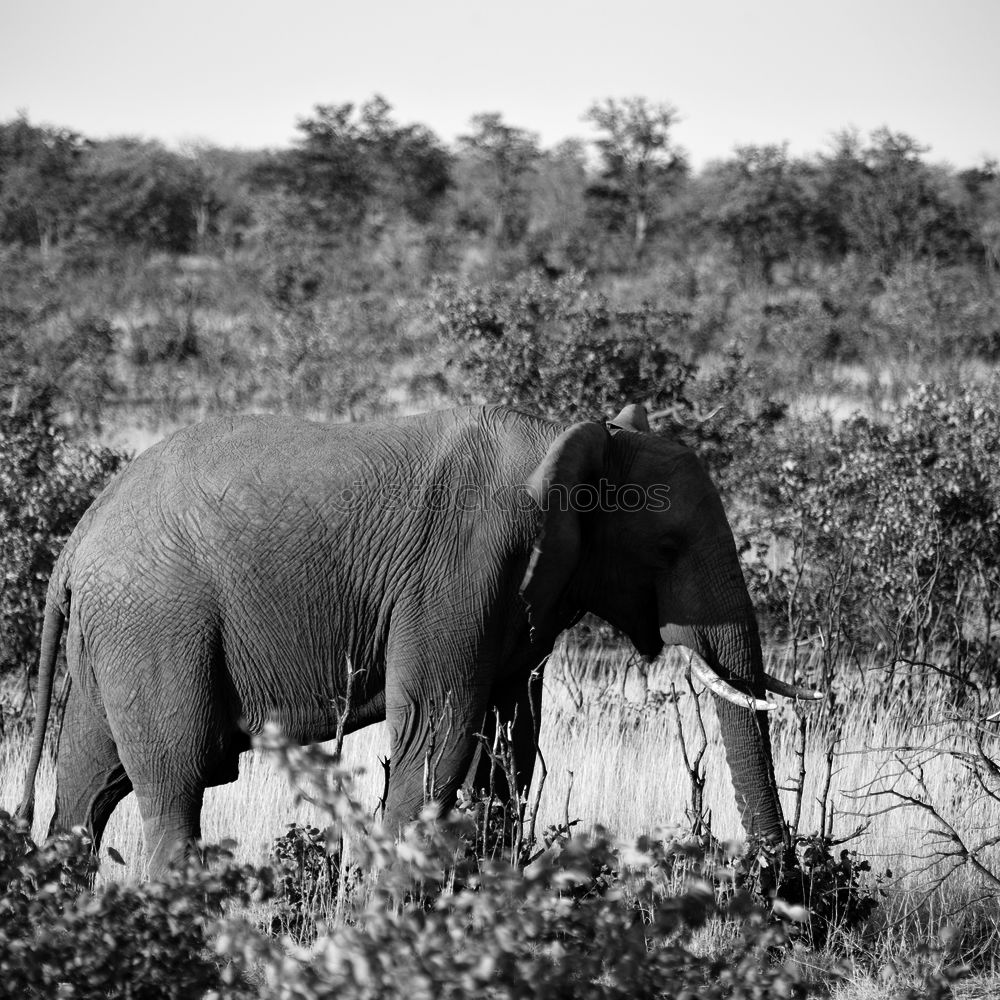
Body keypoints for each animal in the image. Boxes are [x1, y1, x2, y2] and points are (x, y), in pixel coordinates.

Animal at [17, 404, 812, 876]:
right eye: (669, 548)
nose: (781, 886)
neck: (570, 441)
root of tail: (80, 533)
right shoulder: (462, 569)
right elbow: (440, 733)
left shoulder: (519, 591)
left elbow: (510, 740)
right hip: (155, 621)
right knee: (173, 783)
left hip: (115, 631)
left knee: (88, 784)